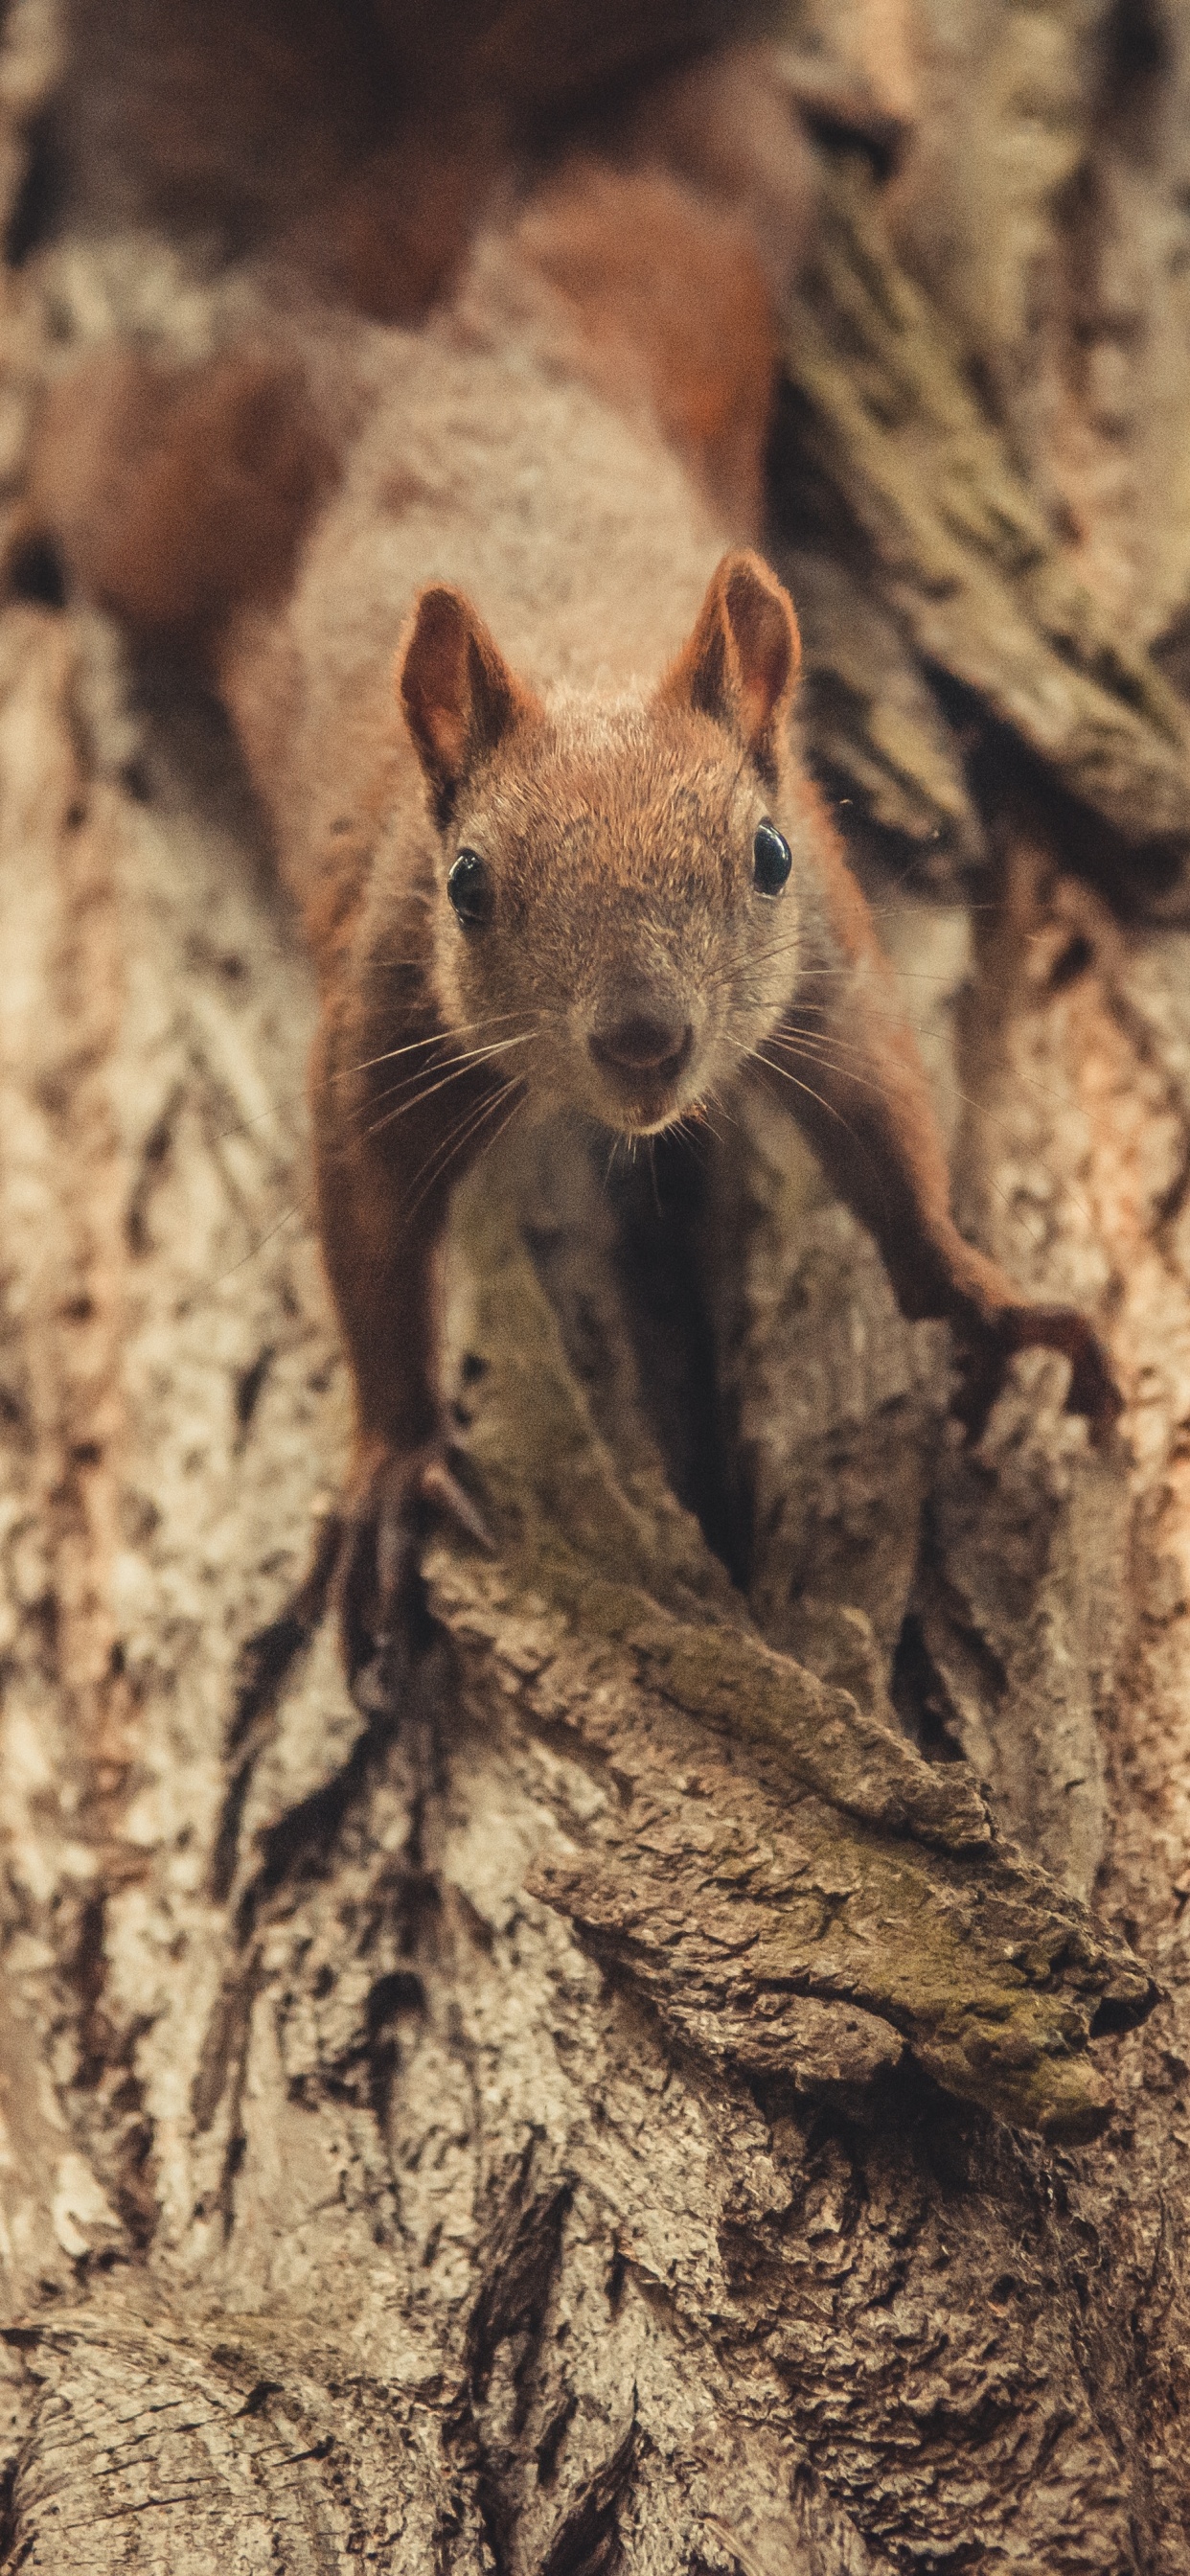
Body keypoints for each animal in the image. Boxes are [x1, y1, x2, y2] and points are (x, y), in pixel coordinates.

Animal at [30, 155, 1123, 1690]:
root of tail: (439, 346)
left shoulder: (827, 963)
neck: (587, 662)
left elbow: (881, 1120)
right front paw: (396, 1459)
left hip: (680, 290)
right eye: (467, 884)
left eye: (769, 855)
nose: (646, 1043)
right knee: (93, 450)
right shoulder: (383, 1009)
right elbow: (368, 1229)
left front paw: (974, 1289)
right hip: (173, 508)